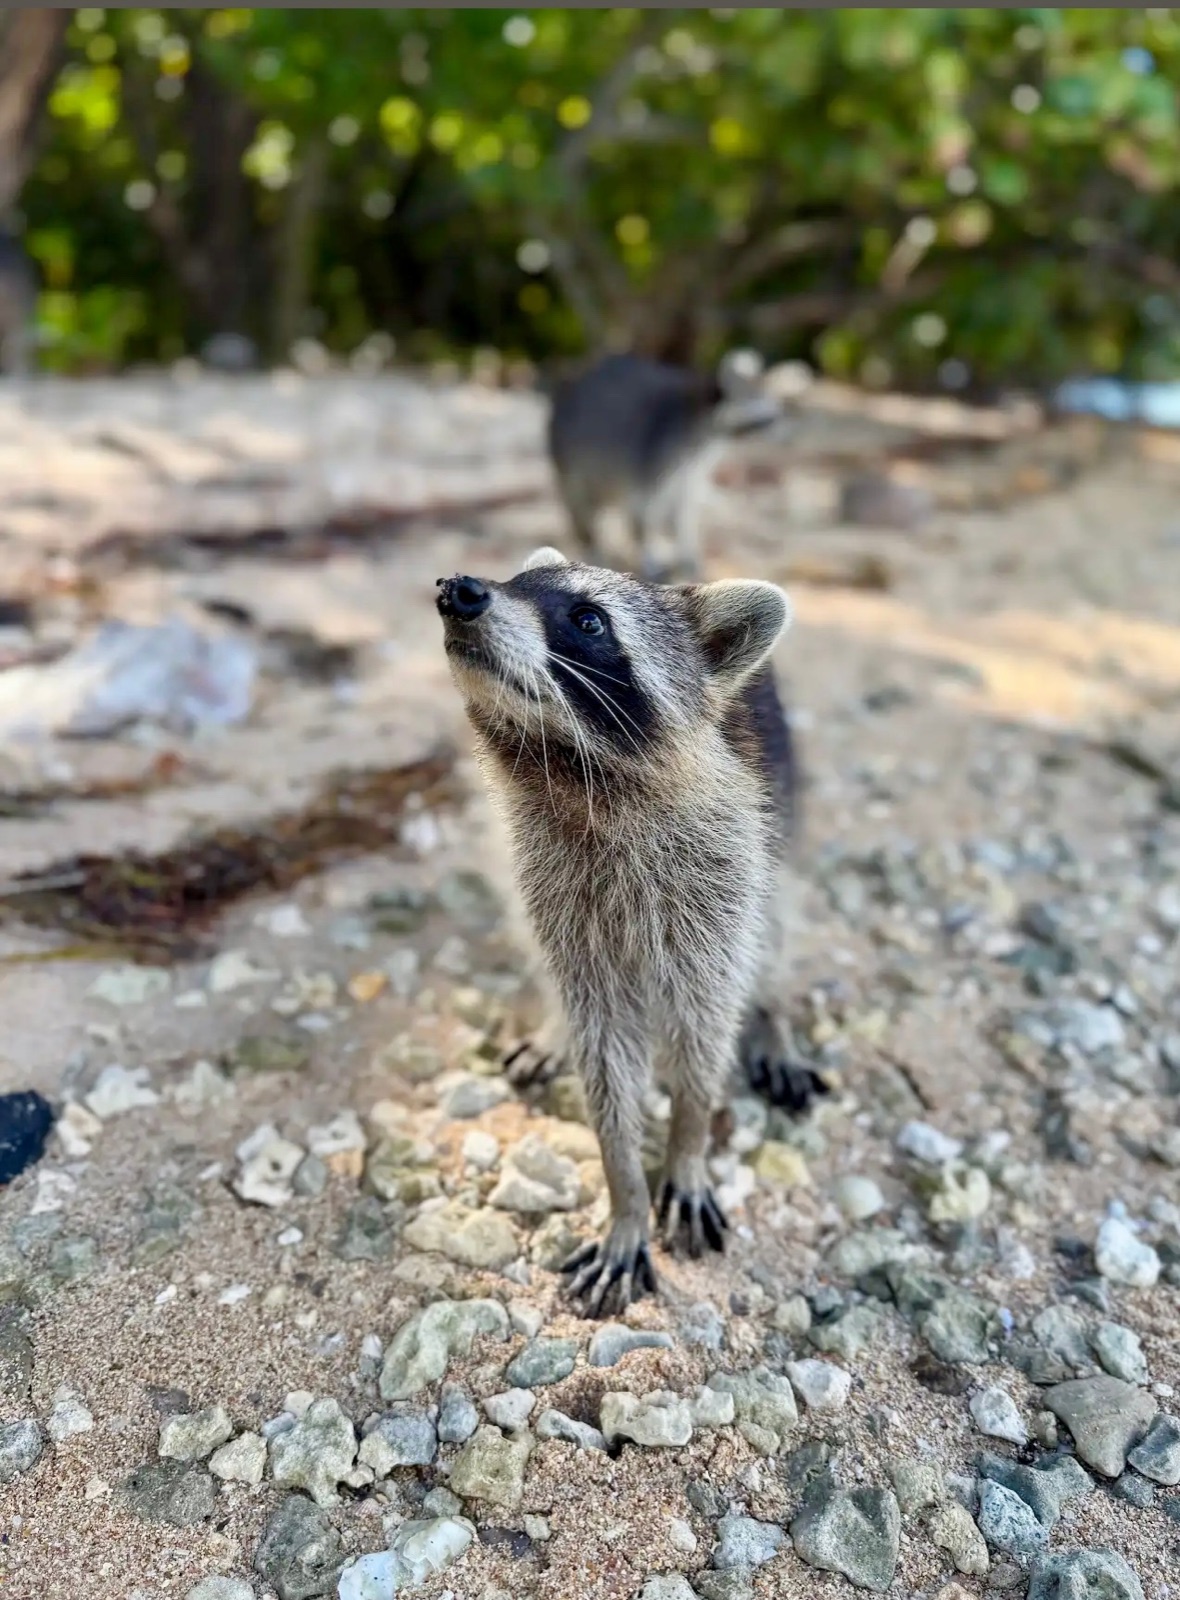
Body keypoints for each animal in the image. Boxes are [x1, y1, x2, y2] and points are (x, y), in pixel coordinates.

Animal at [436, 548, 823, 1315]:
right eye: (515, 581)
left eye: (589, 621)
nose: (458, 590)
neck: (569, 776)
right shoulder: (559, 892)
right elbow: (605, 1060)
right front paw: (625, 1193)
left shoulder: (719, 880)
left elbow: (705, 1033)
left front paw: (687, 1144)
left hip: (781, 832)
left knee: (778, 925)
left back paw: (772, 1013)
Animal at [546, 350, 782, 584]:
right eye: (765, 418)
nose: (781, 429)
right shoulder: (653, 453)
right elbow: (642, 513)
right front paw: (648, 554)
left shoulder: (693, 468)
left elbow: (684, 507)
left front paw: (688, 554)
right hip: (568, 454)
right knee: (581, 506)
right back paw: (591, 545)